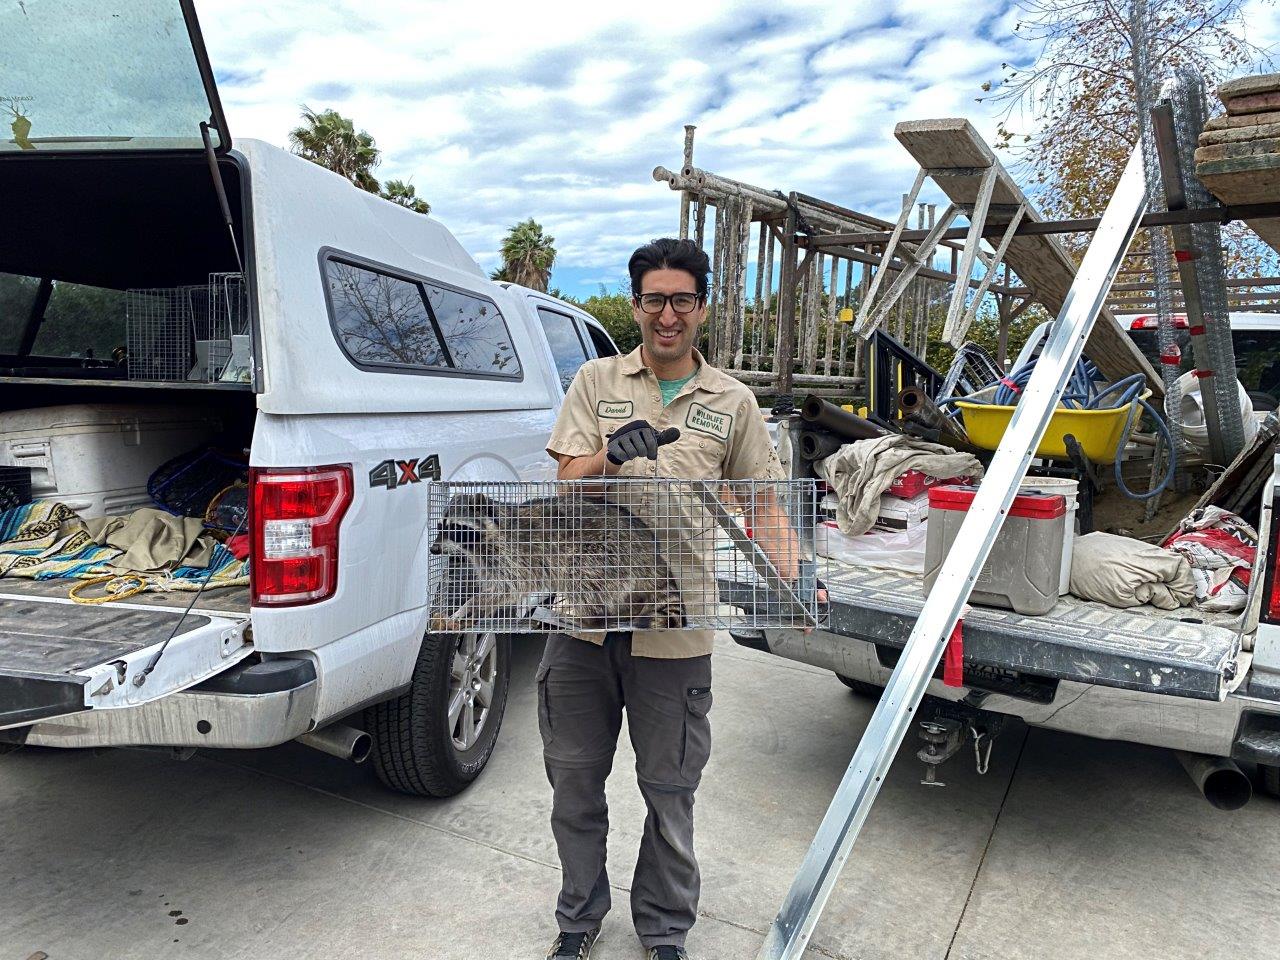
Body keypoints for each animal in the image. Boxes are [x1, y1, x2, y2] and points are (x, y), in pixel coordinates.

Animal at [429, 491, 689, 631]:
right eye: (441, 526)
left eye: (456, 529)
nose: (433, 549)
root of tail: (650, 551)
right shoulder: (485, 558)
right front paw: (463, 614)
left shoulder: (512, 555)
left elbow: (503, 589)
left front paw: (465, 610)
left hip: (607, 552)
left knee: (581, 577)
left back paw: (587, 618)